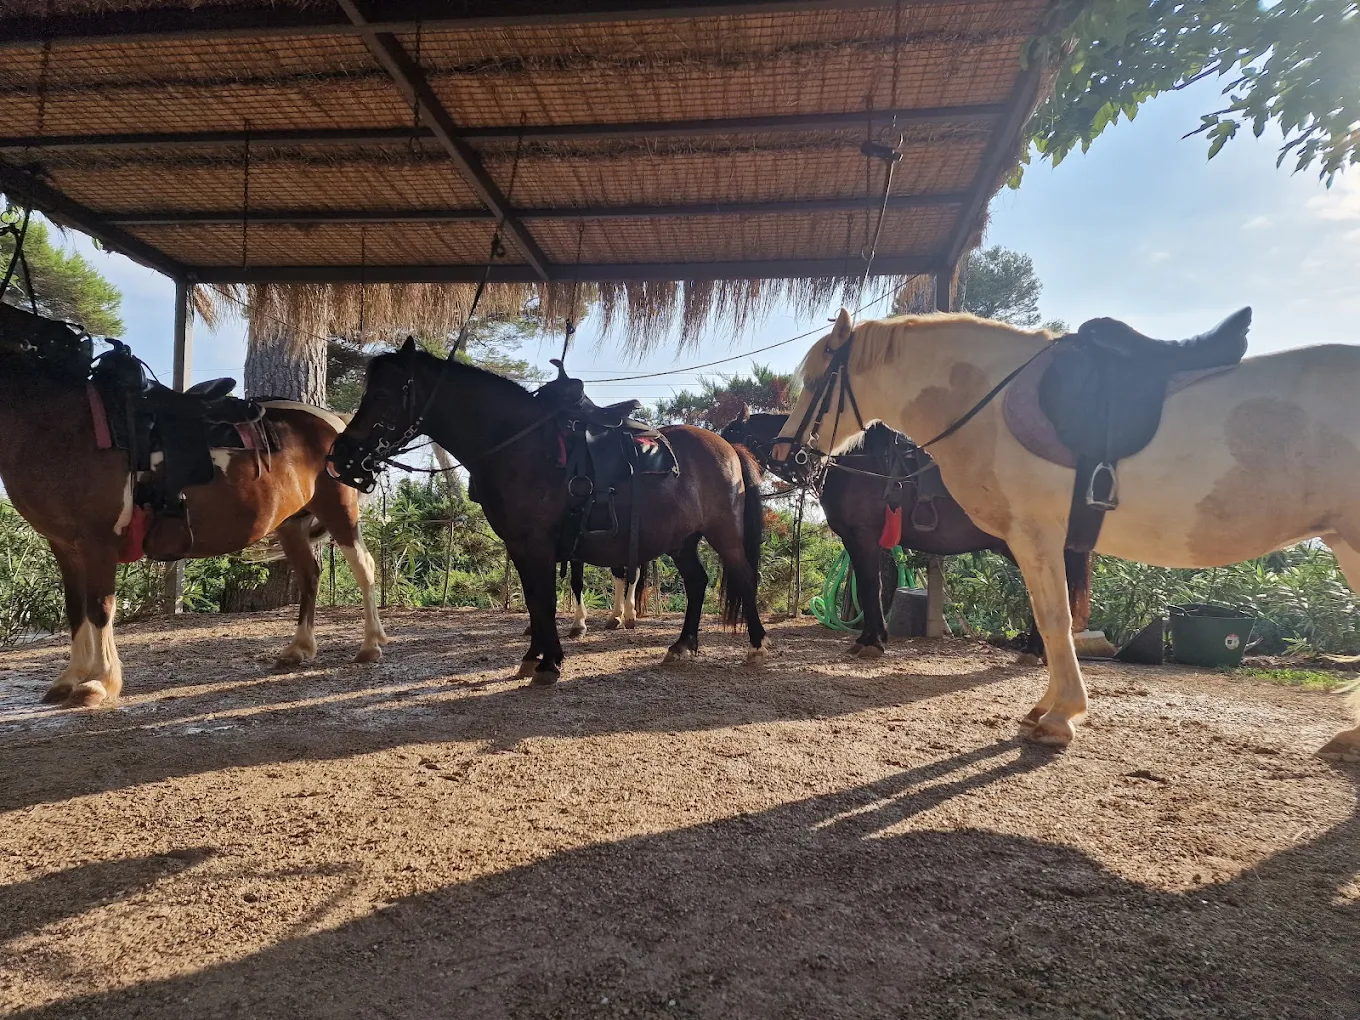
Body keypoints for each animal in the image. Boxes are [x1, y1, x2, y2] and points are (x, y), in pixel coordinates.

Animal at [0, 339, 387, 708]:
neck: (64, 423)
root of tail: (333, 420)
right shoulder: (64, 545)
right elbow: (75, 608)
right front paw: (70, 679)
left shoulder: (98, 540)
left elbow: (99, 607)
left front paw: (99, 683)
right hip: (291, 524)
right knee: (310, 575)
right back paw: (299, 648)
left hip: (338, 510)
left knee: (364, 567)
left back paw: (370, 645)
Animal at [328, 338, 769, 684]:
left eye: (382, 395)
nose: (341, 456)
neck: (520, 446)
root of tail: (729, 447)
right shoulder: (521, 547)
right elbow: (534, 600)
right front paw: (534, 657)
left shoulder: (539, 544)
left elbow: (546, 601)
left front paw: (550, 662)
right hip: (682, 540)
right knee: (696, 582)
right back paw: (682, 645)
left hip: (723, 533)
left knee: (744, 577)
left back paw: (757, 646)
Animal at [721, 410, 1091, 659]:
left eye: (730, 434)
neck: (852, 462)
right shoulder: (858, 541)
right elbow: (870, 587)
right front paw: (870, 638)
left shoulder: (864, 538)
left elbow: (870, 586)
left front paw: (872, 642)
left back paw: (1036, 650)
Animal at [773, 308, 1360, 760]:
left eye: (814, 381)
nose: (786, 455)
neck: (987, 402)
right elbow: (1048, 616)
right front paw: (1047, 706)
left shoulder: (1030, 534)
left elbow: (1052, 618)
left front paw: (1061, 716)